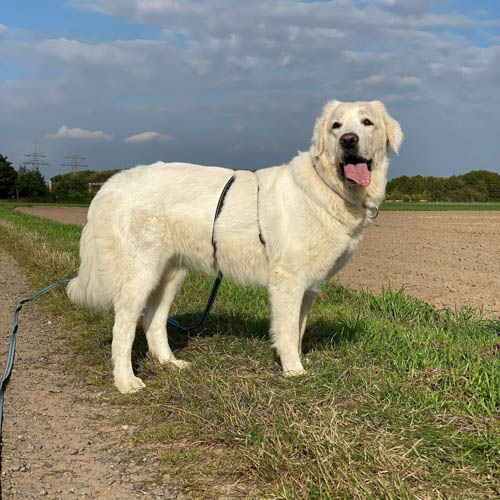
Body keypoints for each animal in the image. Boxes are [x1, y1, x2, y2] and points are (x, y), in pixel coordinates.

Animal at [67, 98, 402, 394]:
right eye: (336, 126)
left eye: (367, 122)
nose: (348, 140)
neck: (327, 187)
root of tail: (110, 184)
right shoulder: (287, 282)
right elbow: (287, 330)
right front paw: (294, 371)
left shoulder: (307, 287)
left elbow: (298, 329)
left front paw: (295, 362)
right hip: (139, 274)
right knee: (123, 328)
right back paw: (126, 381)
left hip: (170, 275)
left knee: (154, 321)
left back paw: (171, 363)